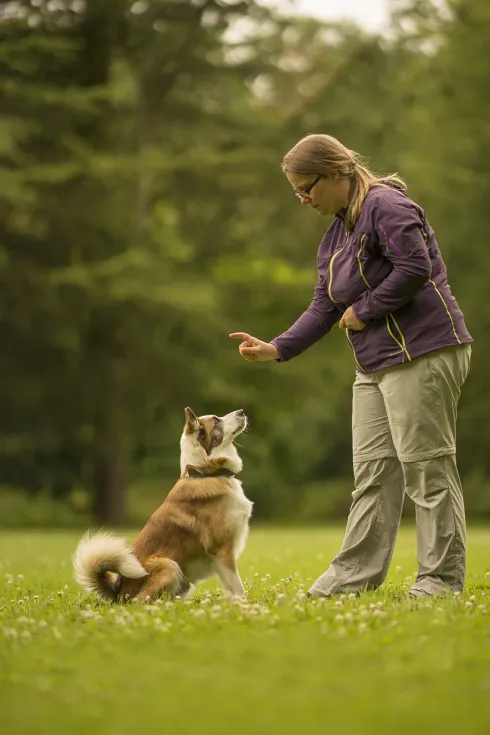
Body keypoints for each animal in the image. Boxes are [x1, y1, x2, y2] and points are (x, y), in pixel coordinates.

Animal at [75, 408, 256, 604]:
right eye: (216, 420)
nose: (242, 411)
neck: (204, 473)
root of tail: (118, 593)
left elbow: (232, 591)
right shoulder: (223, 552)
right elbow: (238, 588)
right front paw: (245, 606)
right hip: (168, 565)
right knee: (141, 601)